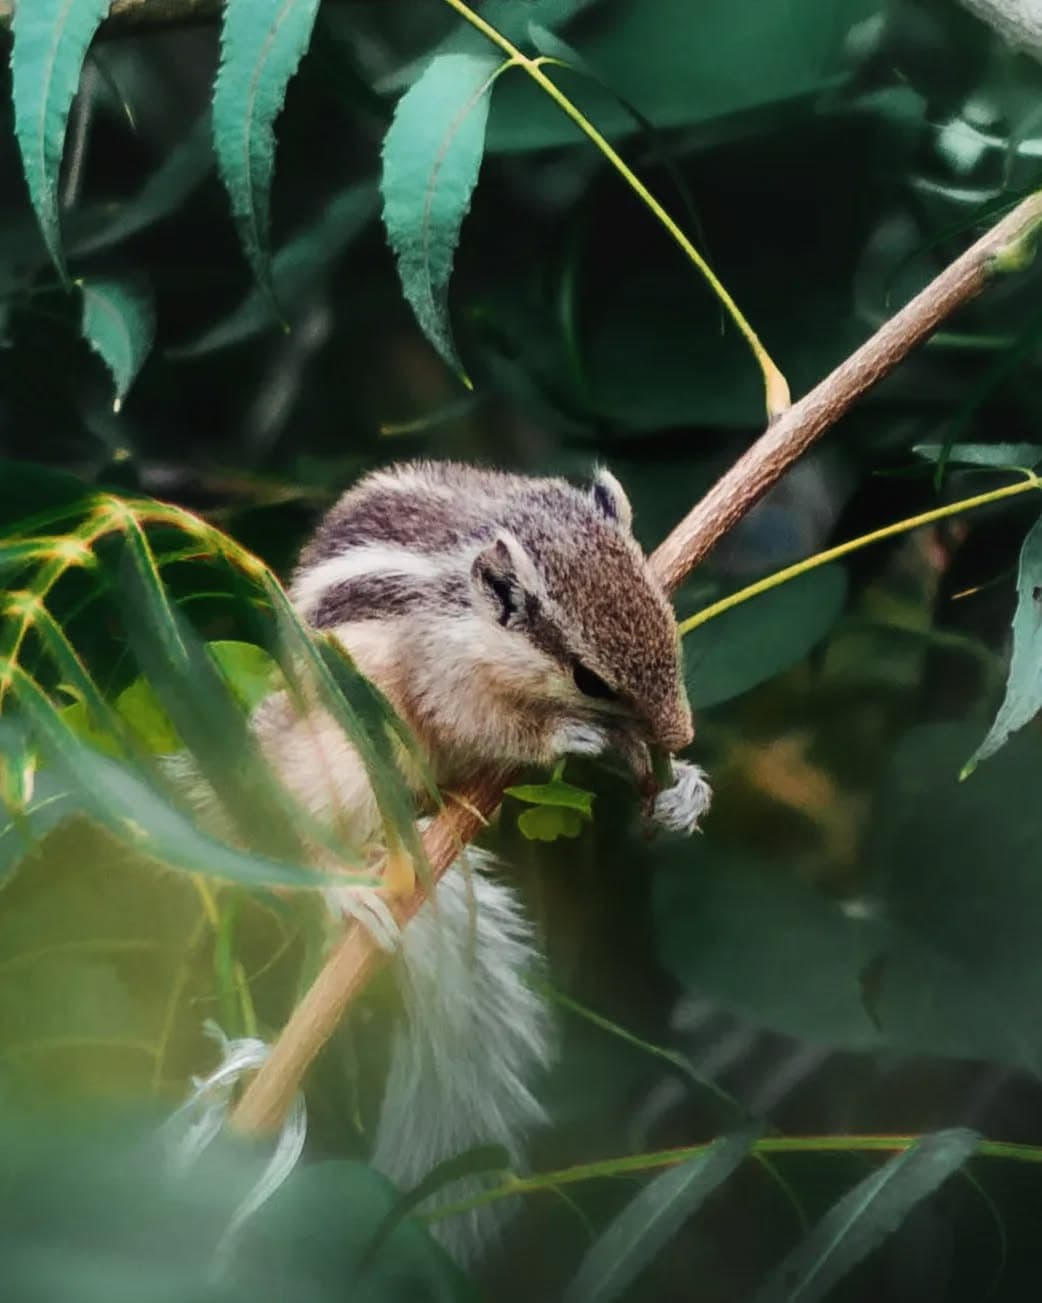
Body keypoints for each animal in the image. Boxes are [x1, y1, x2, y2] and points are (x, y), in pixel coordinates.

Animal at [248, 460, 711, 1260]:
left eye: (667, 618)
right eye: (590, 678)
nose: (680, 733)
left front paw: (681, 789)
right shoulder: (441, 670)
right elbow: (480, 721)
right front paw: (567, 735)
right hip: (337, 756)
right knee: (308, 825)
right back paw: (348, 887)